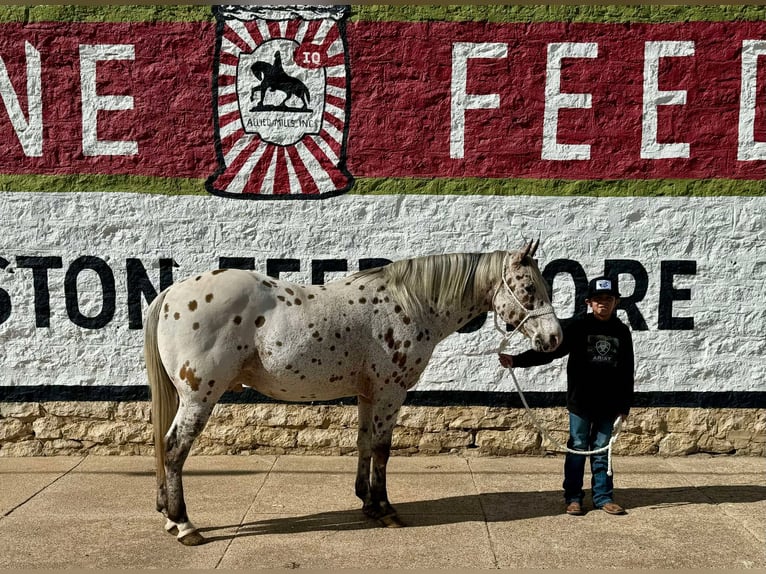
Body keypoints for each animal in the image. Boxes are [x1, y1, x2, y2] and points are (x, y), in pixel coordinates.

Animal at [144, 240, 562, 545]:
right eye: (528, 288)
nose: (554, 338)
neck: (410, 303)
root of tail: (171, 293)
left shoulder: (367, 394)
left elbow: (363, 443)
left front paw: (366, 502)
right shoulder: (390, 392)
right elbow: (382, 448)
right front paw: (386, 509)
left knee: (165, 447)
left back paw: (168, 515)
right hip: (199, 398)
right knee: (175, 448)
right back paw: (185, 525)